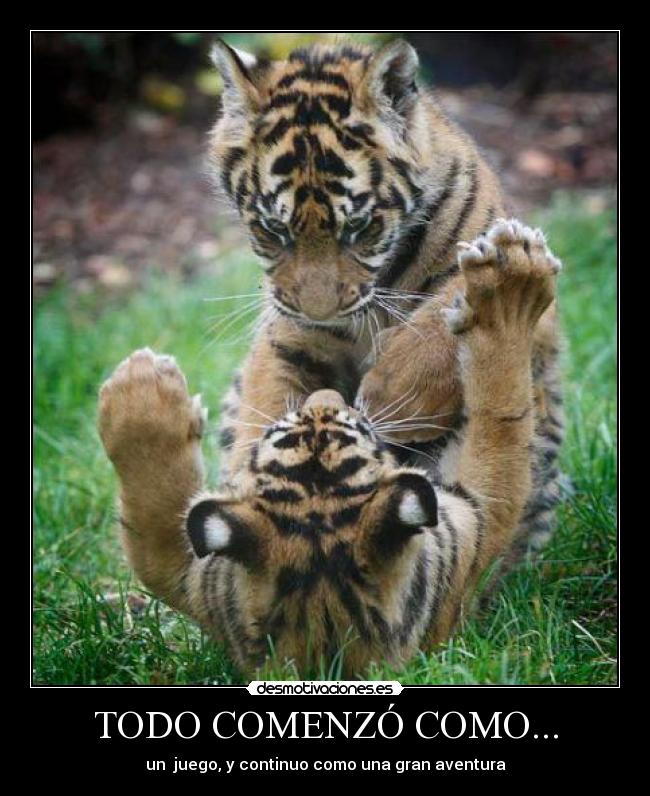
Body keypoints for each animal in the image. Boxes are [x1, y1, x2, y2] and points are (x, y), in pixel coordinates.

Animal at [98, 219, 562, 677]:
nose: (326, 395)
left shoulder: (204, 577)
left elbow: (155, 531)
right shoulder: (479, 523)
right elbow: (502, 407)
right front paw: (512, 281)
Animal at [207, 38, 564, 559]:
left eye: (360, 226)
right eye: (273, 229)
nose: (321, 313)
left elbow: (443, 317)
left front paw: (386, 396)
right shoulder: (289, 336)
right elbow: (265, 400)